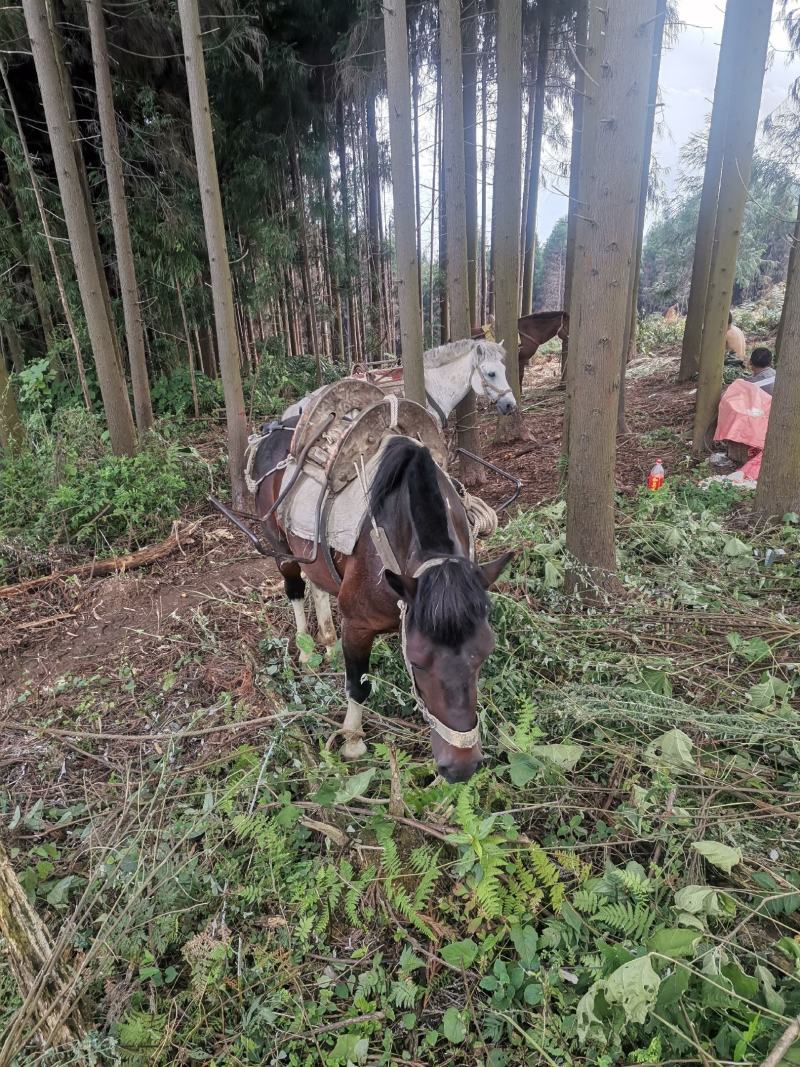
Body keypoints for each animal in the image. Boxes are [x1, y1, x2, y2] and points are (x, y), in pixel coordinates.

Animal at [253, 434, 513, 783]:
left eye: (484, 654)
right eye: (415, 662)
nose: (461, 767)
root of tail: (272, 434)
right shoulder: (357, 625)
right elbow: (357, 686)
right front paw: (353, 742)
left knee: (318, 584)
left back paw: (327, 641)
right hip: (280, 548)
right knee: (295, 588)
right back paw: (307, 651)